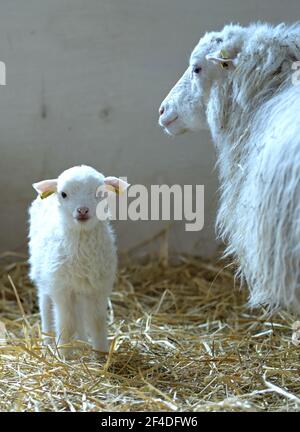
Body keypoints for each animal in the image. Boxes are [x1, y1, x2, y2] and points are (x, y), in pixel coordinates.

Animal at [28, 165, 129, 354]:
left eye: (100, 193)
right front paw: (65, 354)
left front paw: (101, 353)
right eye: (64, 194)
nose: (82, 210)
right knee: (45, 305)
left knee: (80, 314)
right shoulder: (62, 289)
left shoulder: (98, 288)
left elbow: (97, 322)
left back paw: (82, 341)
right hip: (43, 274)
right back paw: (47, 340)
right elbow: (66, 324)